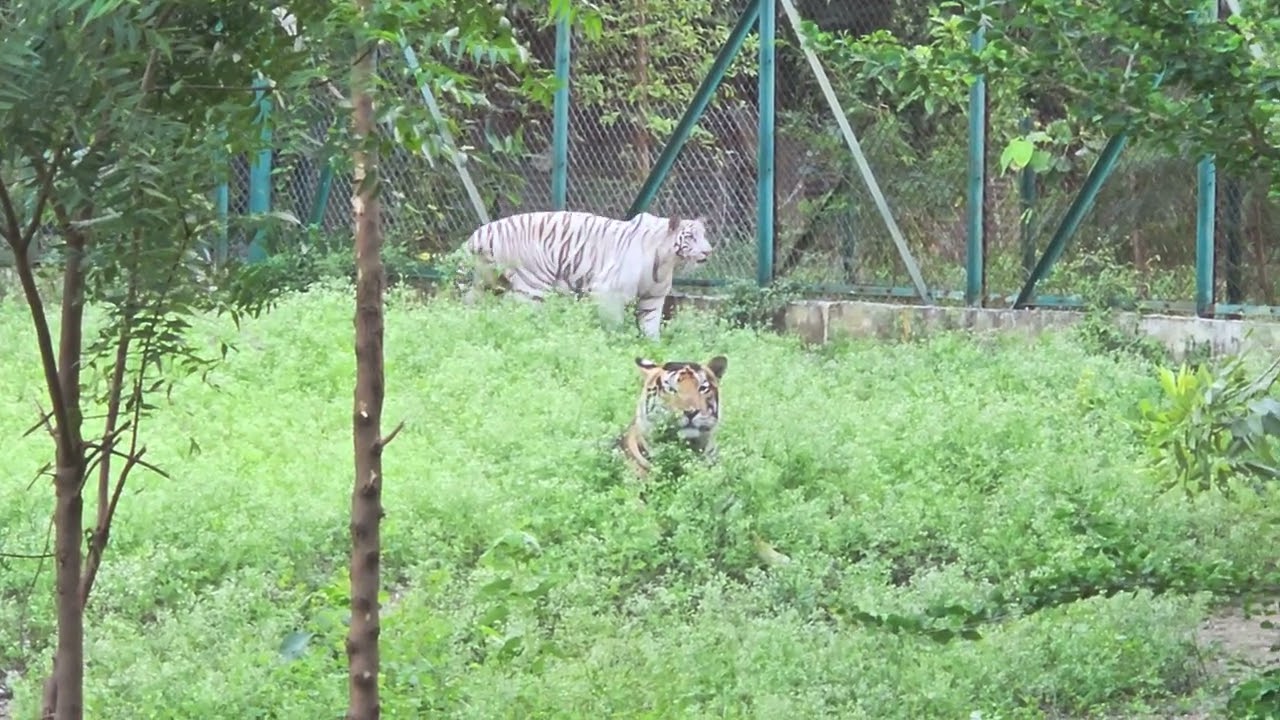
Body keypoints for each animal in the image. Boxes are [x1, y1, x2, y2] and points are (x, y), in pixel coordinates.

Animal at [461, 210, 713, 339]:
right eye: (690, 237)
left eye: (704, 235)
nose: (708, 251)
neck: (667, 261)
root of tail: (480, 234)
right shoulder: (608, 291)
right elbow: (614, 323)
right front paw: (615, 342)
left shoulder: (653, 298)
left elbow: (650, 327)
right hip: (531, 285)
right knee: (519, 316)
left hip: (486, 281)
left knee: (470, 302)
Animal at [616, 355, 790, 568]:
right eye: (671, 388)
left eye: (702, 388)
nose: (691, 412)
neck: (689, 450)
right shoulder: (638, 496)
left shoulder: (725, 504)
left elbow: (749, 532)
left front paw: (780, 559)